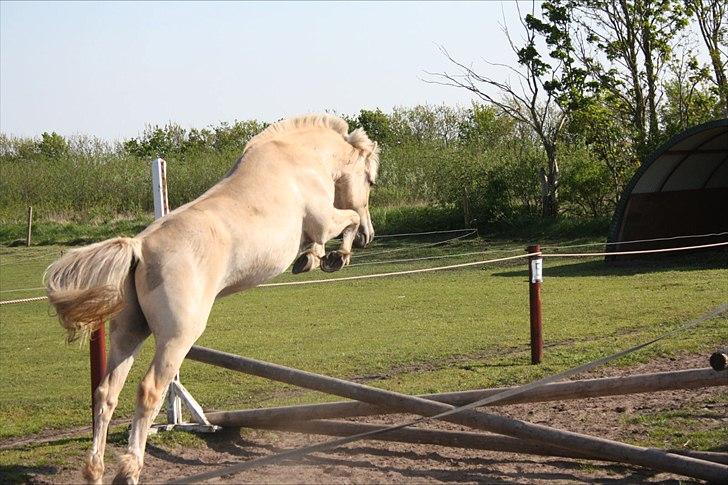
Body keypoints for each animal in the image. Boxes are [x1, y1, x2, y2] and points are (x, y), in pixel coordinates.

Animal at [44, 115, 382, 482]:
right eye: (370, 180)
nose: (368, 237)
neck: (302, 157)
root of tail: (140, 248)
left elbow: (319, 244)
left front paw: (312, 258)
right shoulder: (325, 220)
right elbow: (346, 220)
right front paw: (337, 256)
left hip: (129, 333)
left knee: (106, 394)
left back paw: (95, 470)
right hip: (178, 337)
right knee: (149, 390)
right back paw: (129, 470)